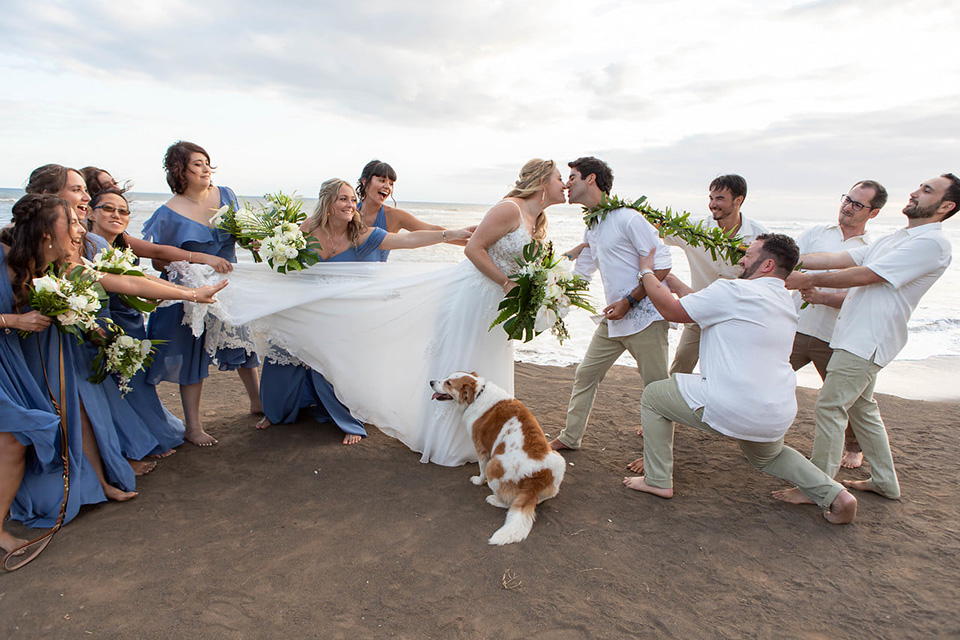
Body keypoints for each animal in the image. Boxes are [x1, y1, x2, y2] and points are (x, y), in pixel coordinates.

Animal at [428, 370, 564, 544]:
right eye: (446, 378)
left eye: (448, 383)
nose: (431, 382)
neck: (478, 395)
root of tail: (536, 477)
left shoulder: (481, 449)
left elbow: (481, 469)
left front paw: (478, 481)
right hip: (558, 458)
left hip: (494, 465)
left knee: (509, 502)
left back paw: (493, 499)